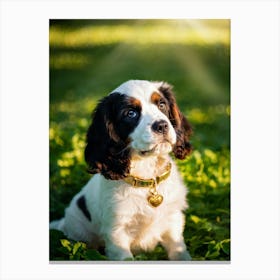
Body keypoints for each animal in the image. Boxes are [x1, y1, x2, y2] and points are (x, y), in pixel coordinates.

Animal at [50, 80, 192, 262]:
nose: (162, 125)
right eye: (130, 113)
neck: (146, 172)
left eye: (161, 104)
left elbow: (178, 250)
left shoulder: (173, 219)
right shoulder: (117, 231)